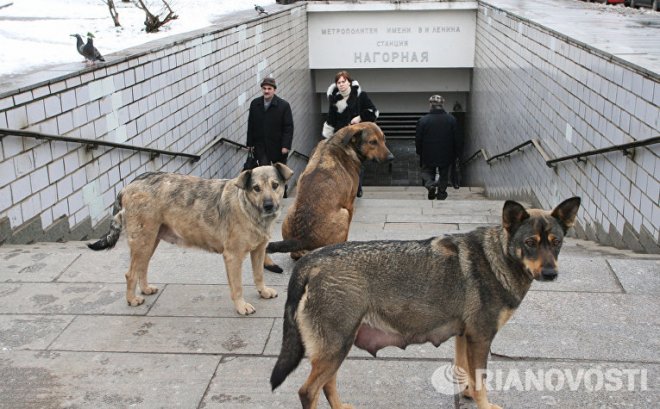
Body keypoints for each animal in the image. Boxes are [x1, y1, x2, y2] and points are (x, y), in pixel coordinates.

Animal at [87, 164, 292, 314]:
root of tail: (128, 185)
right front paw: (241, 306)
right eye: (256, 188)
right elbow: (238, 286)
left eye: (275, 185)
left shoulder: (259, 250)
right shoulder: (233, 256)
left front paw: (263, 291)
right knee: (130, 273)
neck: (248, 208)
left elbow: (259, 275)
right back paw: (132, 299)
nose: (269, 205)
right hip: (142, 240)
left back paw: (145, 289)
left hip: (151, 240)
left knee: (142, 267)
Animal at [266, 121, 394, 262]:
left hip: (289, 212)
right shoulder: (349, 205)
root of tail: (300, 240)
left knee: (294, 255)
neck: (337, 141)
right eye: (372, 142)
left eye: (384, 139)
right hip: (344, 213)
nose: (391, 158)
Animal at [270, 196, 580, 406]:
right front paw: (483, 403)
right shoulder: (480, 337)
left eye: (557, 242)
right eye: (530, 243)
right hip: (336, 345)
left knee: (327, 383)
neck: (499, 257)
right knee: (308, 391)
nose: (551, 274)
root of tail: (311, 260)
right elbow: (481, 380)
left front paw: (467, 395)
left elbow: (466, 373)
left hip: (336, 347)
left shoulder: (464, 336)